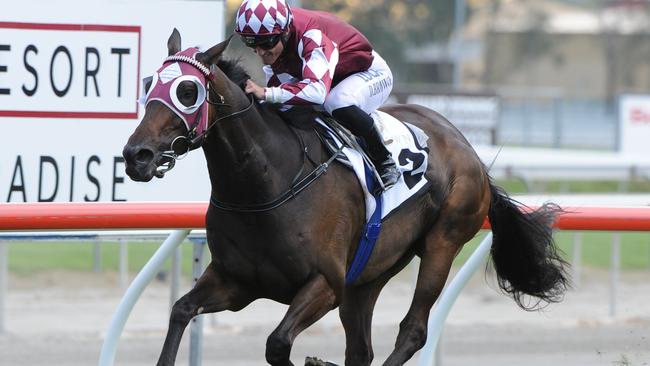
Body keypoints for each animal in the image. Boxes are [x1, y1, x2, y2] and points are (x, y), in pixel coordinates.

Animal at [123, 29, 568, 366]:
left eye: (187, 90)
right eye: (148, 84)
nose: (136, 155)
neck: (266, 183)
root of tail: (468, 150)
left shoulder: (325, 284)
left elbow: (277, 344)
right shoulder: (237, 282)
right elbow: (180, 310)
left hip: (443, 242)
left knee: (413, 330)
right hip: (369, 274)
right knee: (361, 348)